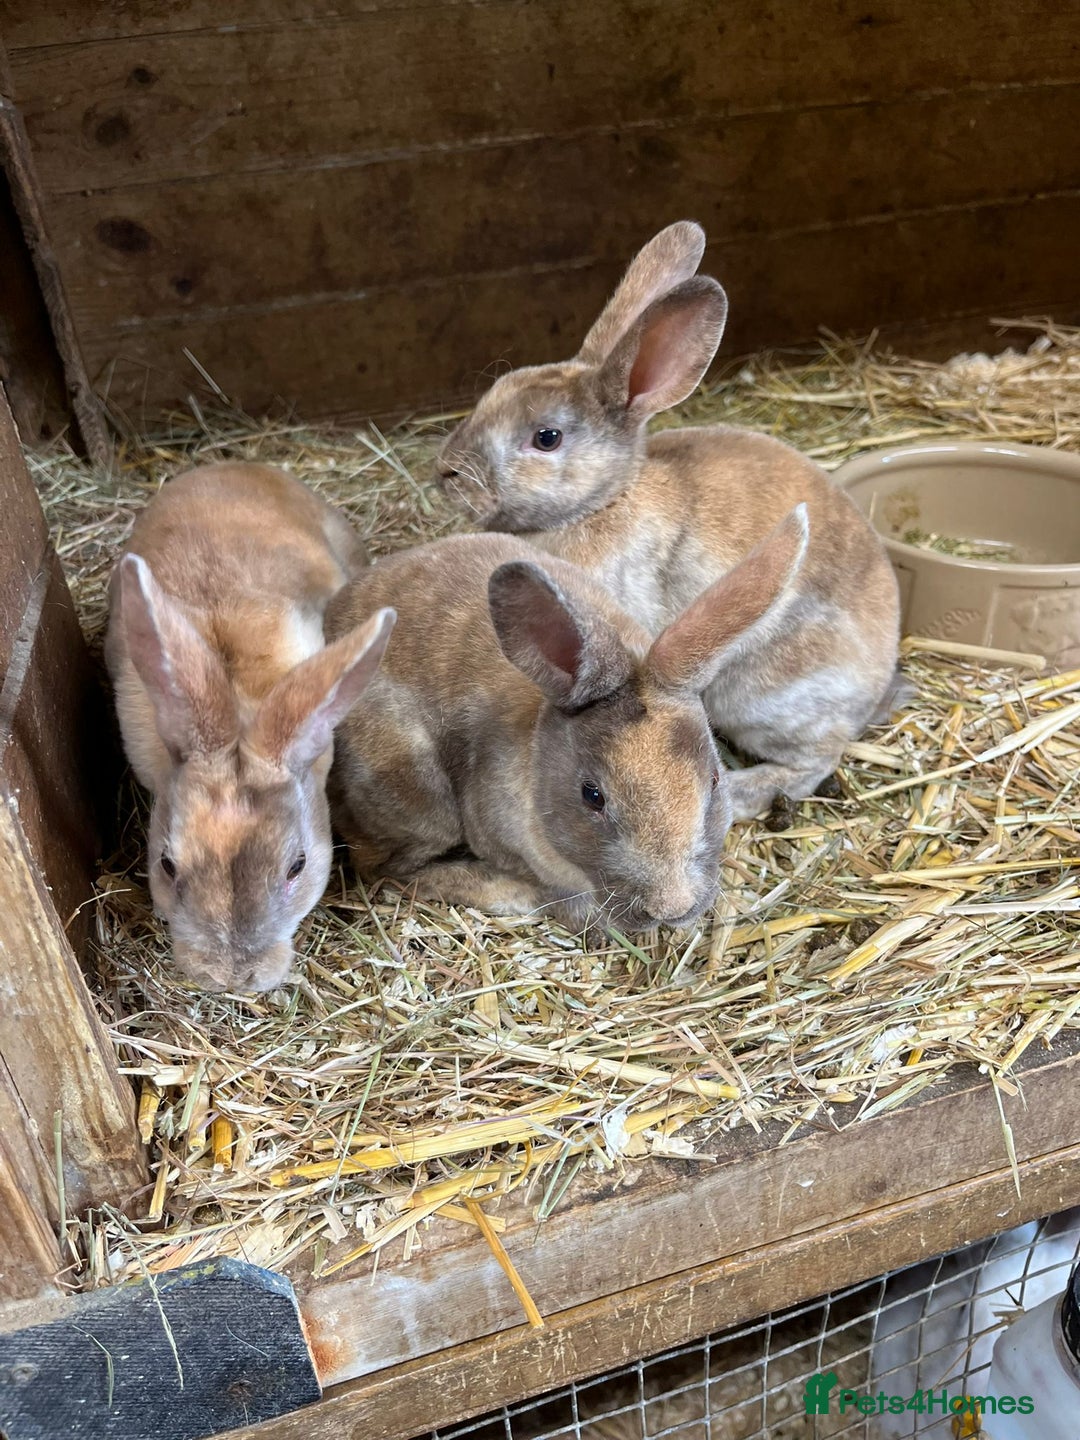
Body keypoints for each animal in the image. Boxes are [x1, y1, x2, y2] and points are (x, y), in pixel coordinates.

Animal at [436, 221, 902, 821]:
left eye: (547, 437)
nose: (445, 472)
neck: (604, 502)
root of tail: (878, 678)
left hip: (770, 697)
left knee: (816, 759)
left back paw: (746, 791)